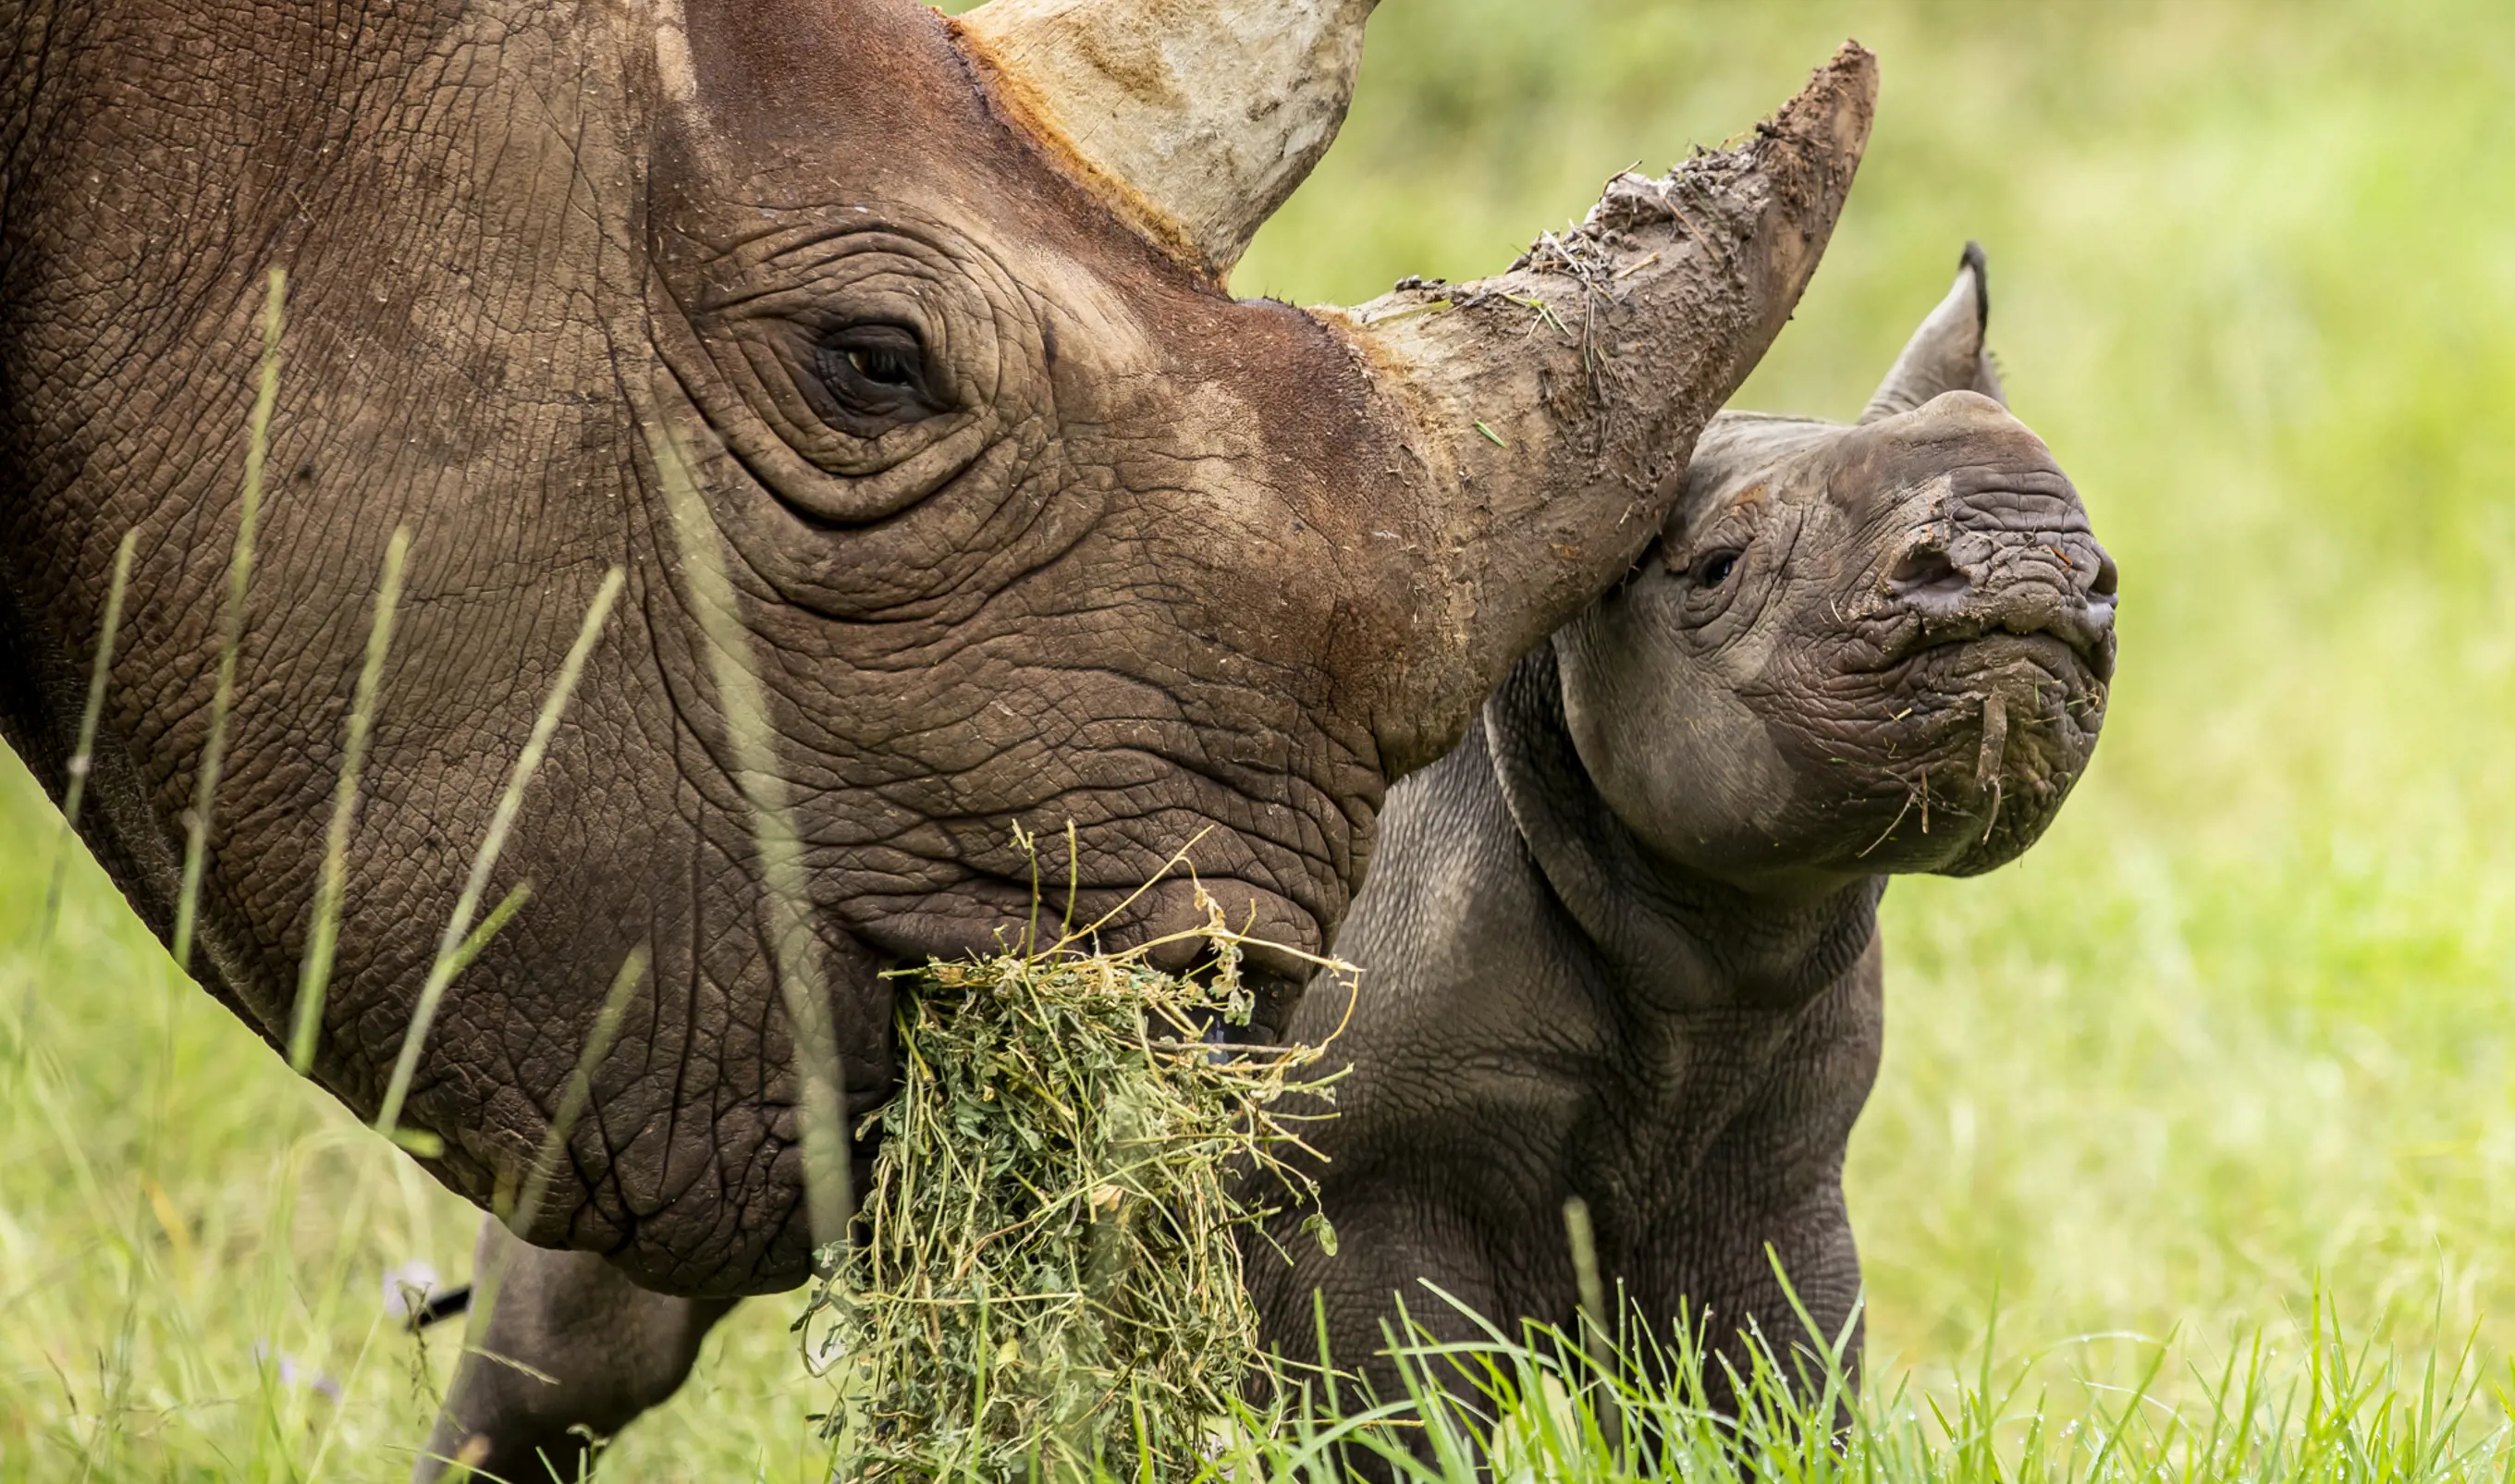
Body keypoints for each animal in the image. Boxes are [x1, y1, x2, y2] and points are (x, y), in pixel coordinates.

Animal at [1248, 247, 2117, 1448]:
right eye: (1712, 569)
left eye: (2098, 575)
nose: (2028, 555)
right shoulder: (1348, 1180)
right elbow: (1388, 1420)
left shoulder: (1767, 1170)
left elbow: (1770, 1387)